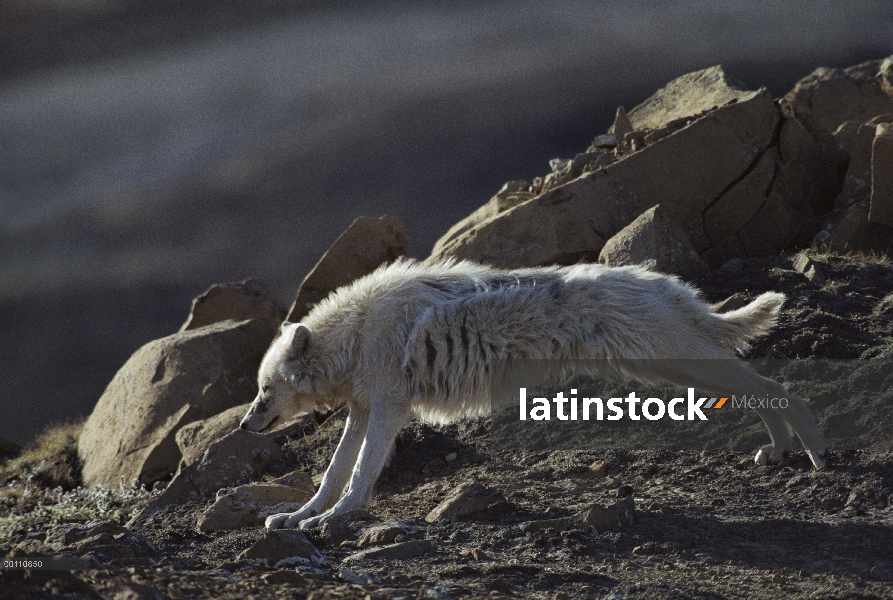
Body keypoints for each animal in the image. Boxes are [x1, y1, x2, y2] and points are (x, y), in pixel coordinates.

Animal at [240, 258, 824, 528]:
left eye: (266, 390)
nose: (245, 424)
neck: (356, 334)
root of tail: (660, 282)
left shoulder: (386, 409)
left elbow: (359, 475)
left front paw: (333, 520)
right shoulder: (362, 411)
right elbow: (333, 474)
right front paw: (300, 517)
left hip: (681, 364)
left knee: (774, 386)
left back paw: (815, 453)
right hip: (679, 370)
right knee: (759, 392)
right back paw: (778, 451)